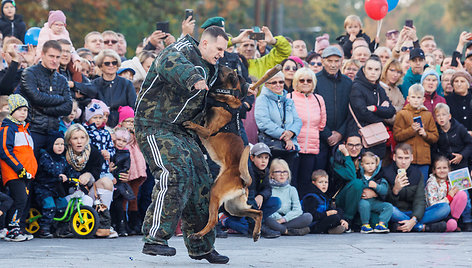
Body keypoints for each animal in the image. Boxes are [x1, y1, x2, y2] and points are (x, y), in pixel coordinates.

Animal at [183, 66, 262, 242]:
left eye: (223, 69)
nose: (216, 63)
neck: (227, 97)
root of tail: (243, 181)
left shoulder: (207, 131)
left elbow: (198, 124)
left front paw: (190, 123)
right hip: (234, 207)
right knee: (258, 213)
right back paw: (256, 233)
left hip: (216, 193)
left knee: (213, 221)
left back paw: (198, 234)